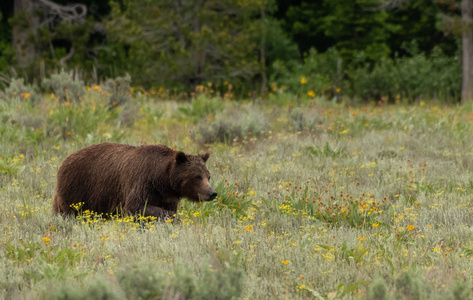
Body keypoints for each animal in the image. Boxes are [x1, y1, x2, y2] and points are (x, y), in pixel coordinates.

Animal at [52, 142, 217, 219]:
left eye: (208, 176)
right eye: (197, 176)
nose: (212, 193)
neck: (161, 180)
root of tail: (64, 161)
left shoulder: (165, 196)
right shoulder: (141, 182)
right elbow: (136, 206)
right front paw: (173, 218)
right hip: (79, 188)